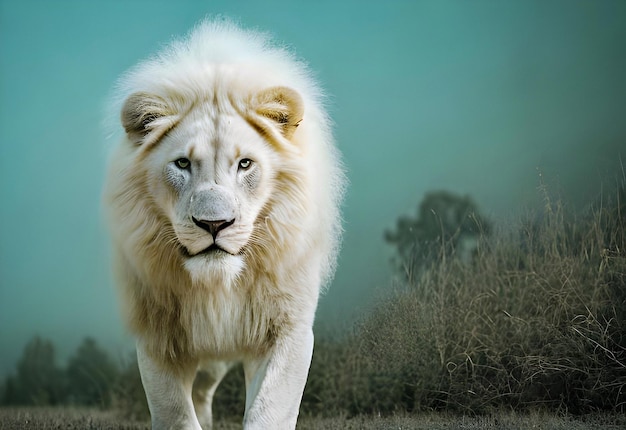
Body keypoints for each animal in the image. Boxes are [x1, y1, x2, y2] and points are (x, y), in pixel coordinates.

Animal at [104, 18, 344, 430]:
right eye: (182, 163)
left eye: (245, 164)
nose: (214, 224)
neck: (218, 287)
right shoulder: (155, 331)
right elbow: (175, 412)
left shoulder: (288, 327)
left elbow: (269, 410)